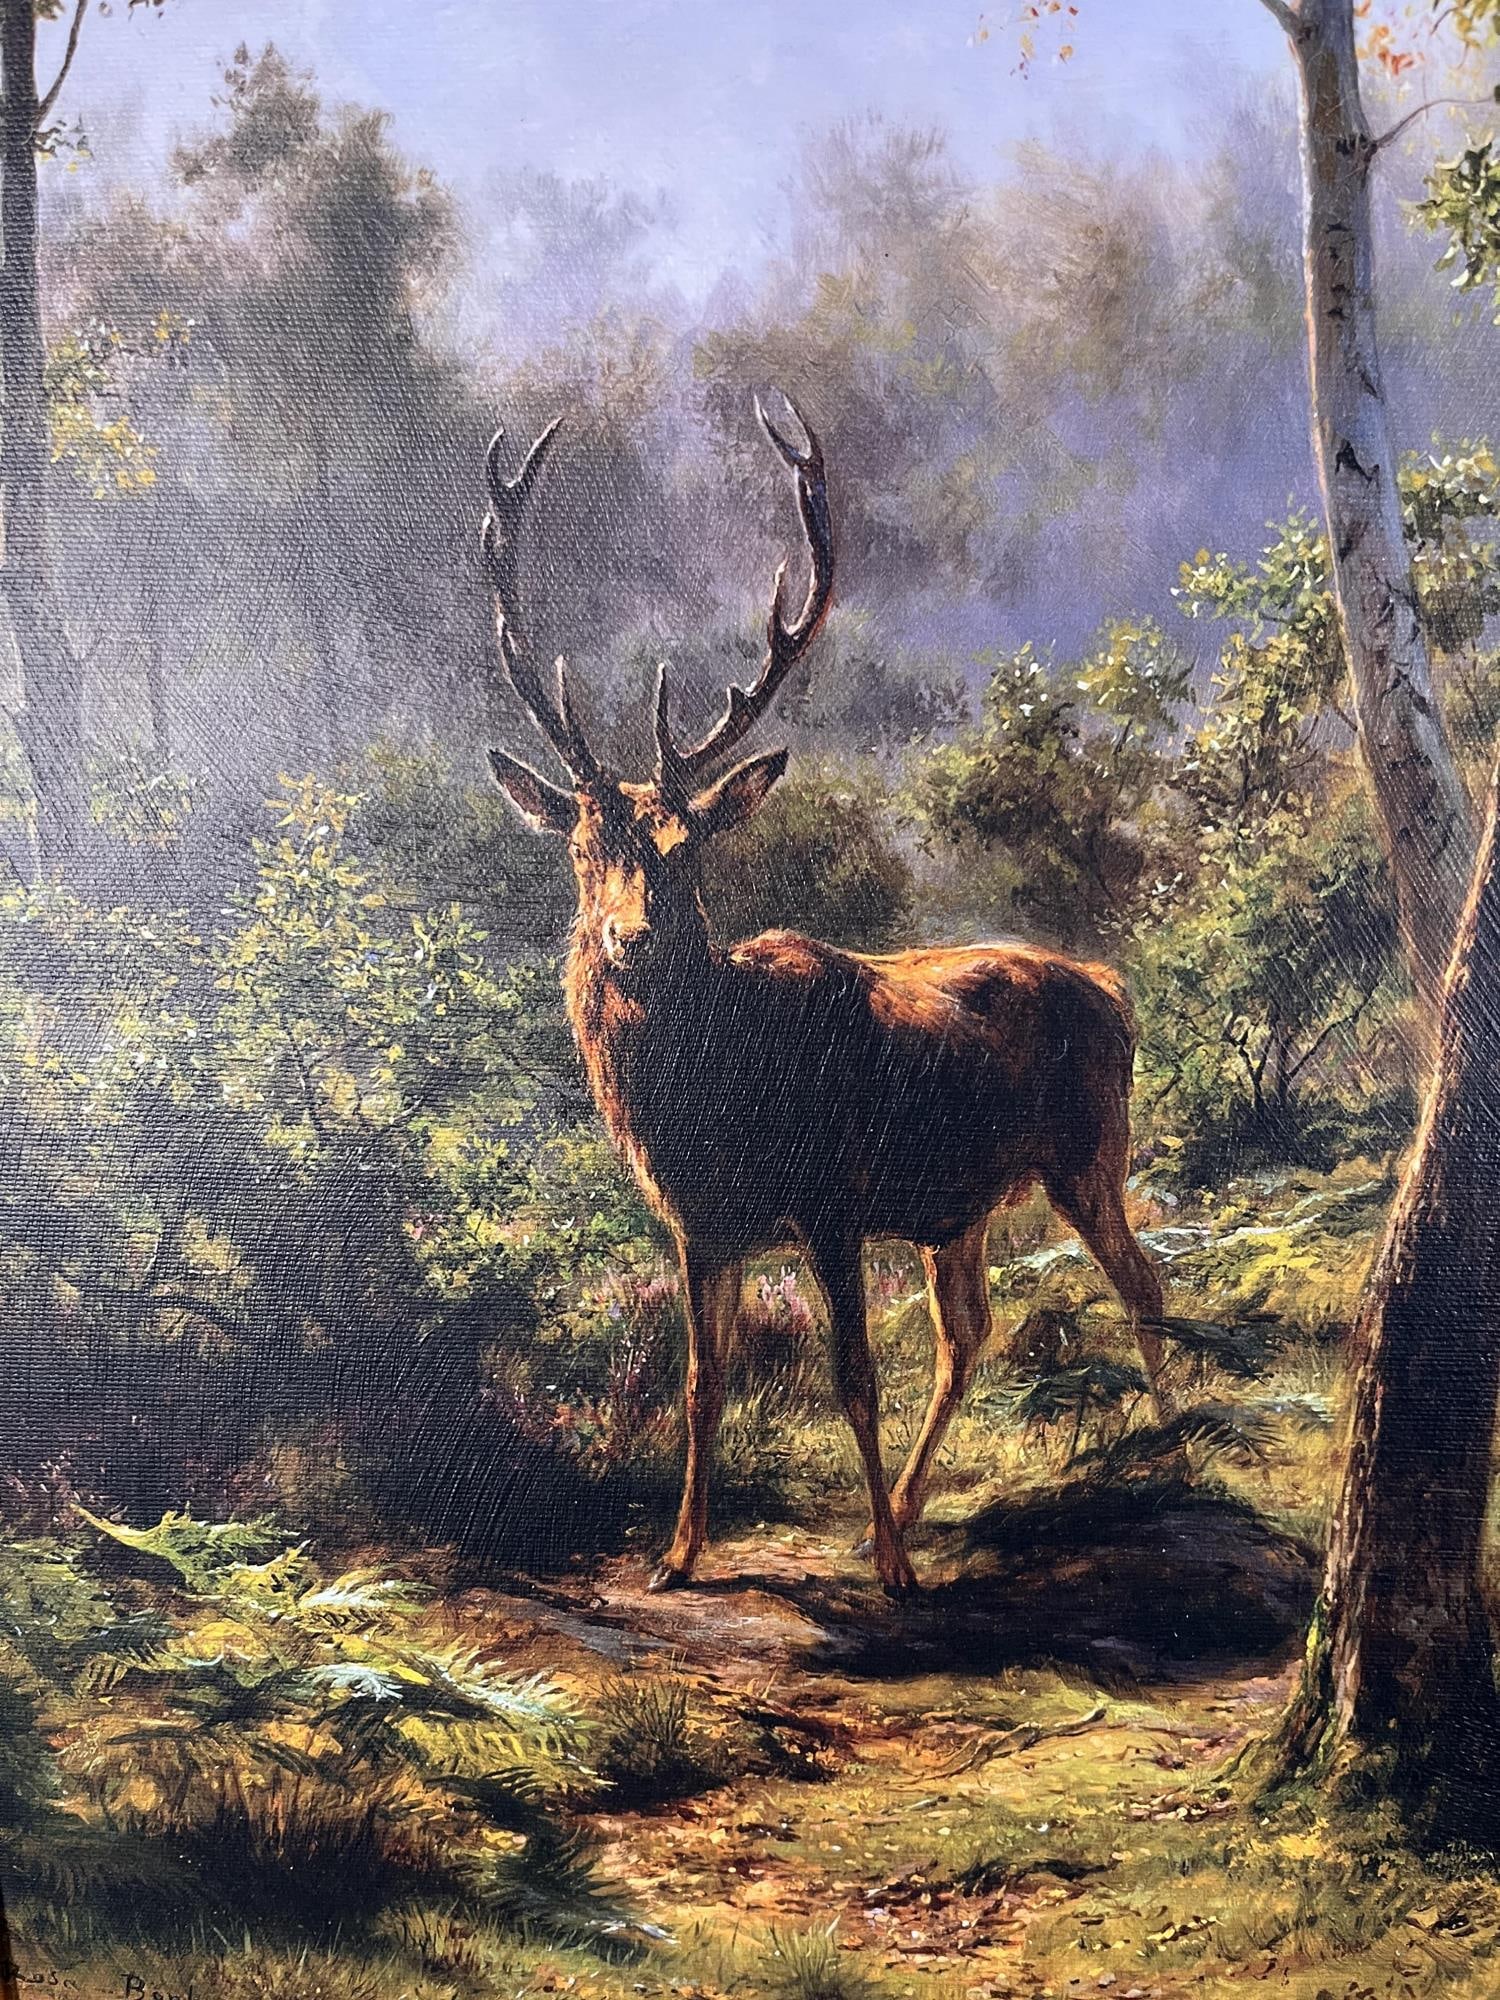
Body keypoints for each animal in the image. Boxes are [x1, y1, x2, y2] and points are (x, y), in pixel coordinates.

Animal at [479, 396, 1168, 1597]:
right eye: (579, 847)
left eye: (688, 849)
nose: (629, 936)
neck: (713, 1104)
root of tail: (1110, 985)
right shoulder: (699, 1226)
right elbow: (702, 1383)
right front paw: (678, 1554)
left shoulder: (836, 1201)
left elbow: (851, 1374)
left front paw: (890, 1569)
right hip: (956, 1210)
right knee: (969, 1331)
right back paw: (901, 1510)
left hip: (1091, 1150)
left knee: (1141, 1283)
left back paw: (1175, 1447)